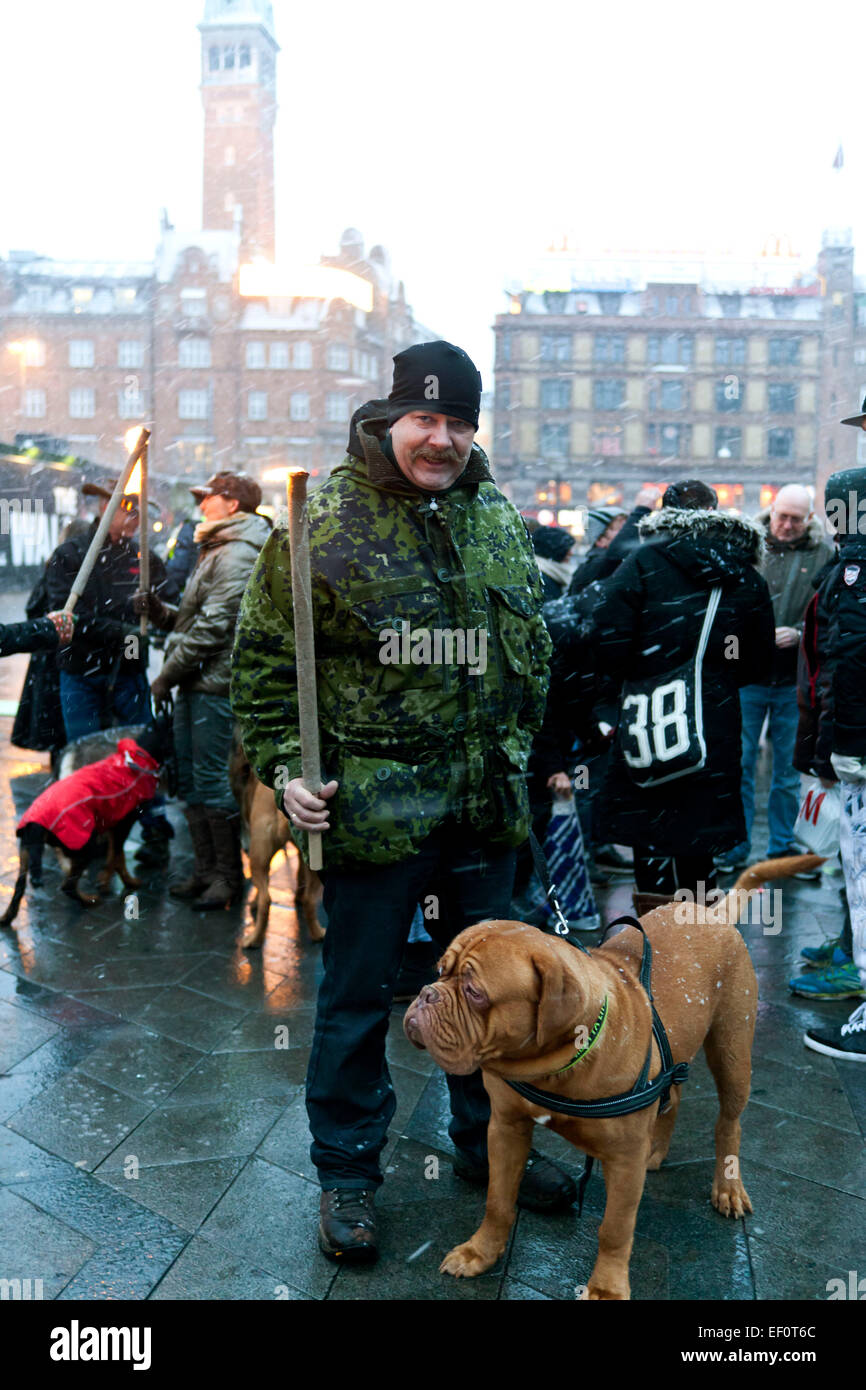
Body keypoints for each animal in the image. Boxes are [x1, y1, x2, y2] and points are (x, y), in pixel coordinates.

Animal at [0, 722, 176, 928]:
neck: (136, 756)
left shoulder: (112, 822)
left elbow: (116, 855)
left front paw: (110, 879)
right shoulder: (122, 823)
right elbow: (117, 856)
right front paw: (117, 881)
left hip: (25, 855)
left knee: (20, 889)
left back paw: (7, 917)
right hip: (85, 845)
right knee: (67, 884)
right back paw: (89, 898)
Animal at [403, 850, 822, 1295]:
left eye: (475, 993)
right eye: (439, 970)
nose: (426, 994)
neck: (557, 1064)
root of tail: (711, 913)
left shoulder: (622, 1160)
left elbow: (615, 1229)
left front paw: (606, 1287)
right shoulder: (505, 1128)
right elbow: (498, 1200)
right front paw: (479, 1252)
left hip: (733, 1051)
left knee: (729, 1122)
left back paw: (727, 1187)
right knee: (673, 1094)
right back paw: (657, 1150)